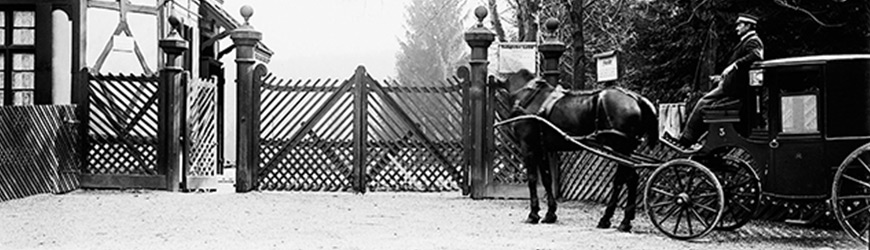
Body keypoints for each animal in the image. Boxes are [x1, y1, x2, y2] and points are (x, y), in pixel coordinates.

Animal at [494, 69, 656, 232]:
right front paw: (550, 214)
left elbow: (532, 179)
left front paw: (533, 214)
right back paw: (617, 219)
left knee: (626, 179)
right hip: (625, 151)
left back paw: (617, 220)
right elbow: (546, 179)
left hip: (621, 149)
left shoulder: (528, 147)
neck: (528, 95)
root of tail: (637, 98)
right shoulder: (541, 149)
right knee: (627, 179)